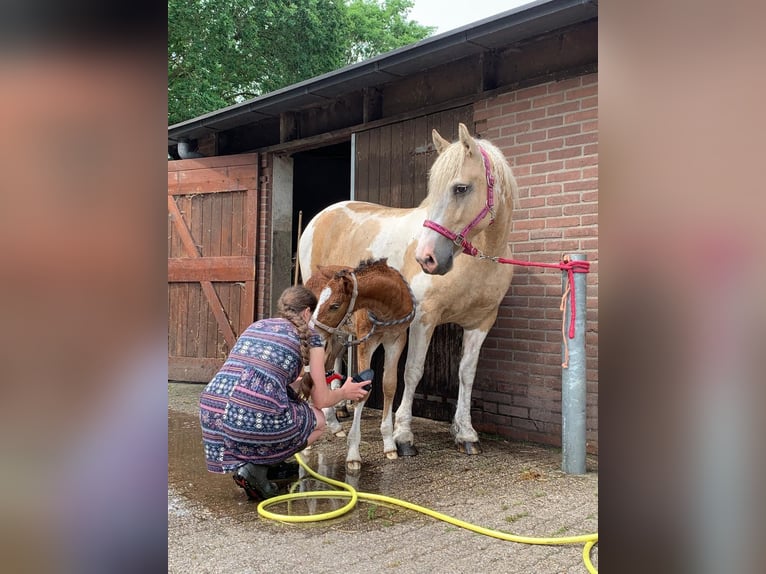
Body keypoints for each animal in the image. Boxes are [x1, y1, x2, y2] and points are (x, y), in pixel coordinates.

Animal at [306, 258, 415, 469]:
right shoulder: (366, 341)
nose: (310, 330)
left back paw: (334, 425)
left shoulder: (396, 339)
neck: (387, 308)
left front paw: (389, 445)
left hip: (336, 337)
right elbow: (364, 387)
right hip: (327, 337)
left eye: (334, 305)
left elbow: (389, 385)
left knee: (325, 368)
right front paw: (353, 455)